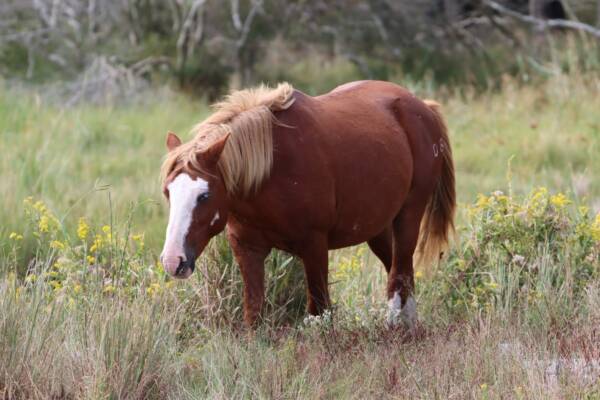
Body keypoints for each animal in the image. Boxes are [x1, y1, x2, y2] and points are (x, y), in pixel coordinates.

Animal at [159, 81, 454, 328]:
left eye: (204, 196)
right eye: (168, 193)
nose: (173, 260)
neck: (271, 171)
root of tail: (423, 108)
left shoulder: (314, 245)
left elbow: (319, 310)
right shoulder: (247, 247)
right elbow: (253, 312)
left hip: (408, 215)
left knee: (400, 272)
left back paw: (397, 326)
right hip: (377, 227)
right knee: (398, 267)